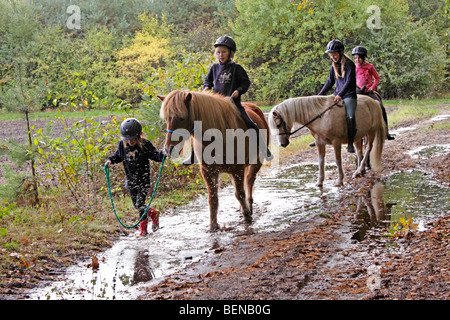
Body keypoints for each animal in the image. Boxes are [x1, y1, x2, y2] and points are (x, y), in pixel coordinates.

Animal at [159, 90, 270, 232]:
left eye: (182, 118)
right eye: (166, 119)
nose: (168, 149)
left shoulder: (237, 169)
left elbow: (239, 194)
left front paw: (247, 217)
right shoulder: (208, 172)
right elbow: (213, 199)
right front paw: (213, 226)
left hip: (256, 162)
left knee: (249, 181)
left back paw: (249, 208)